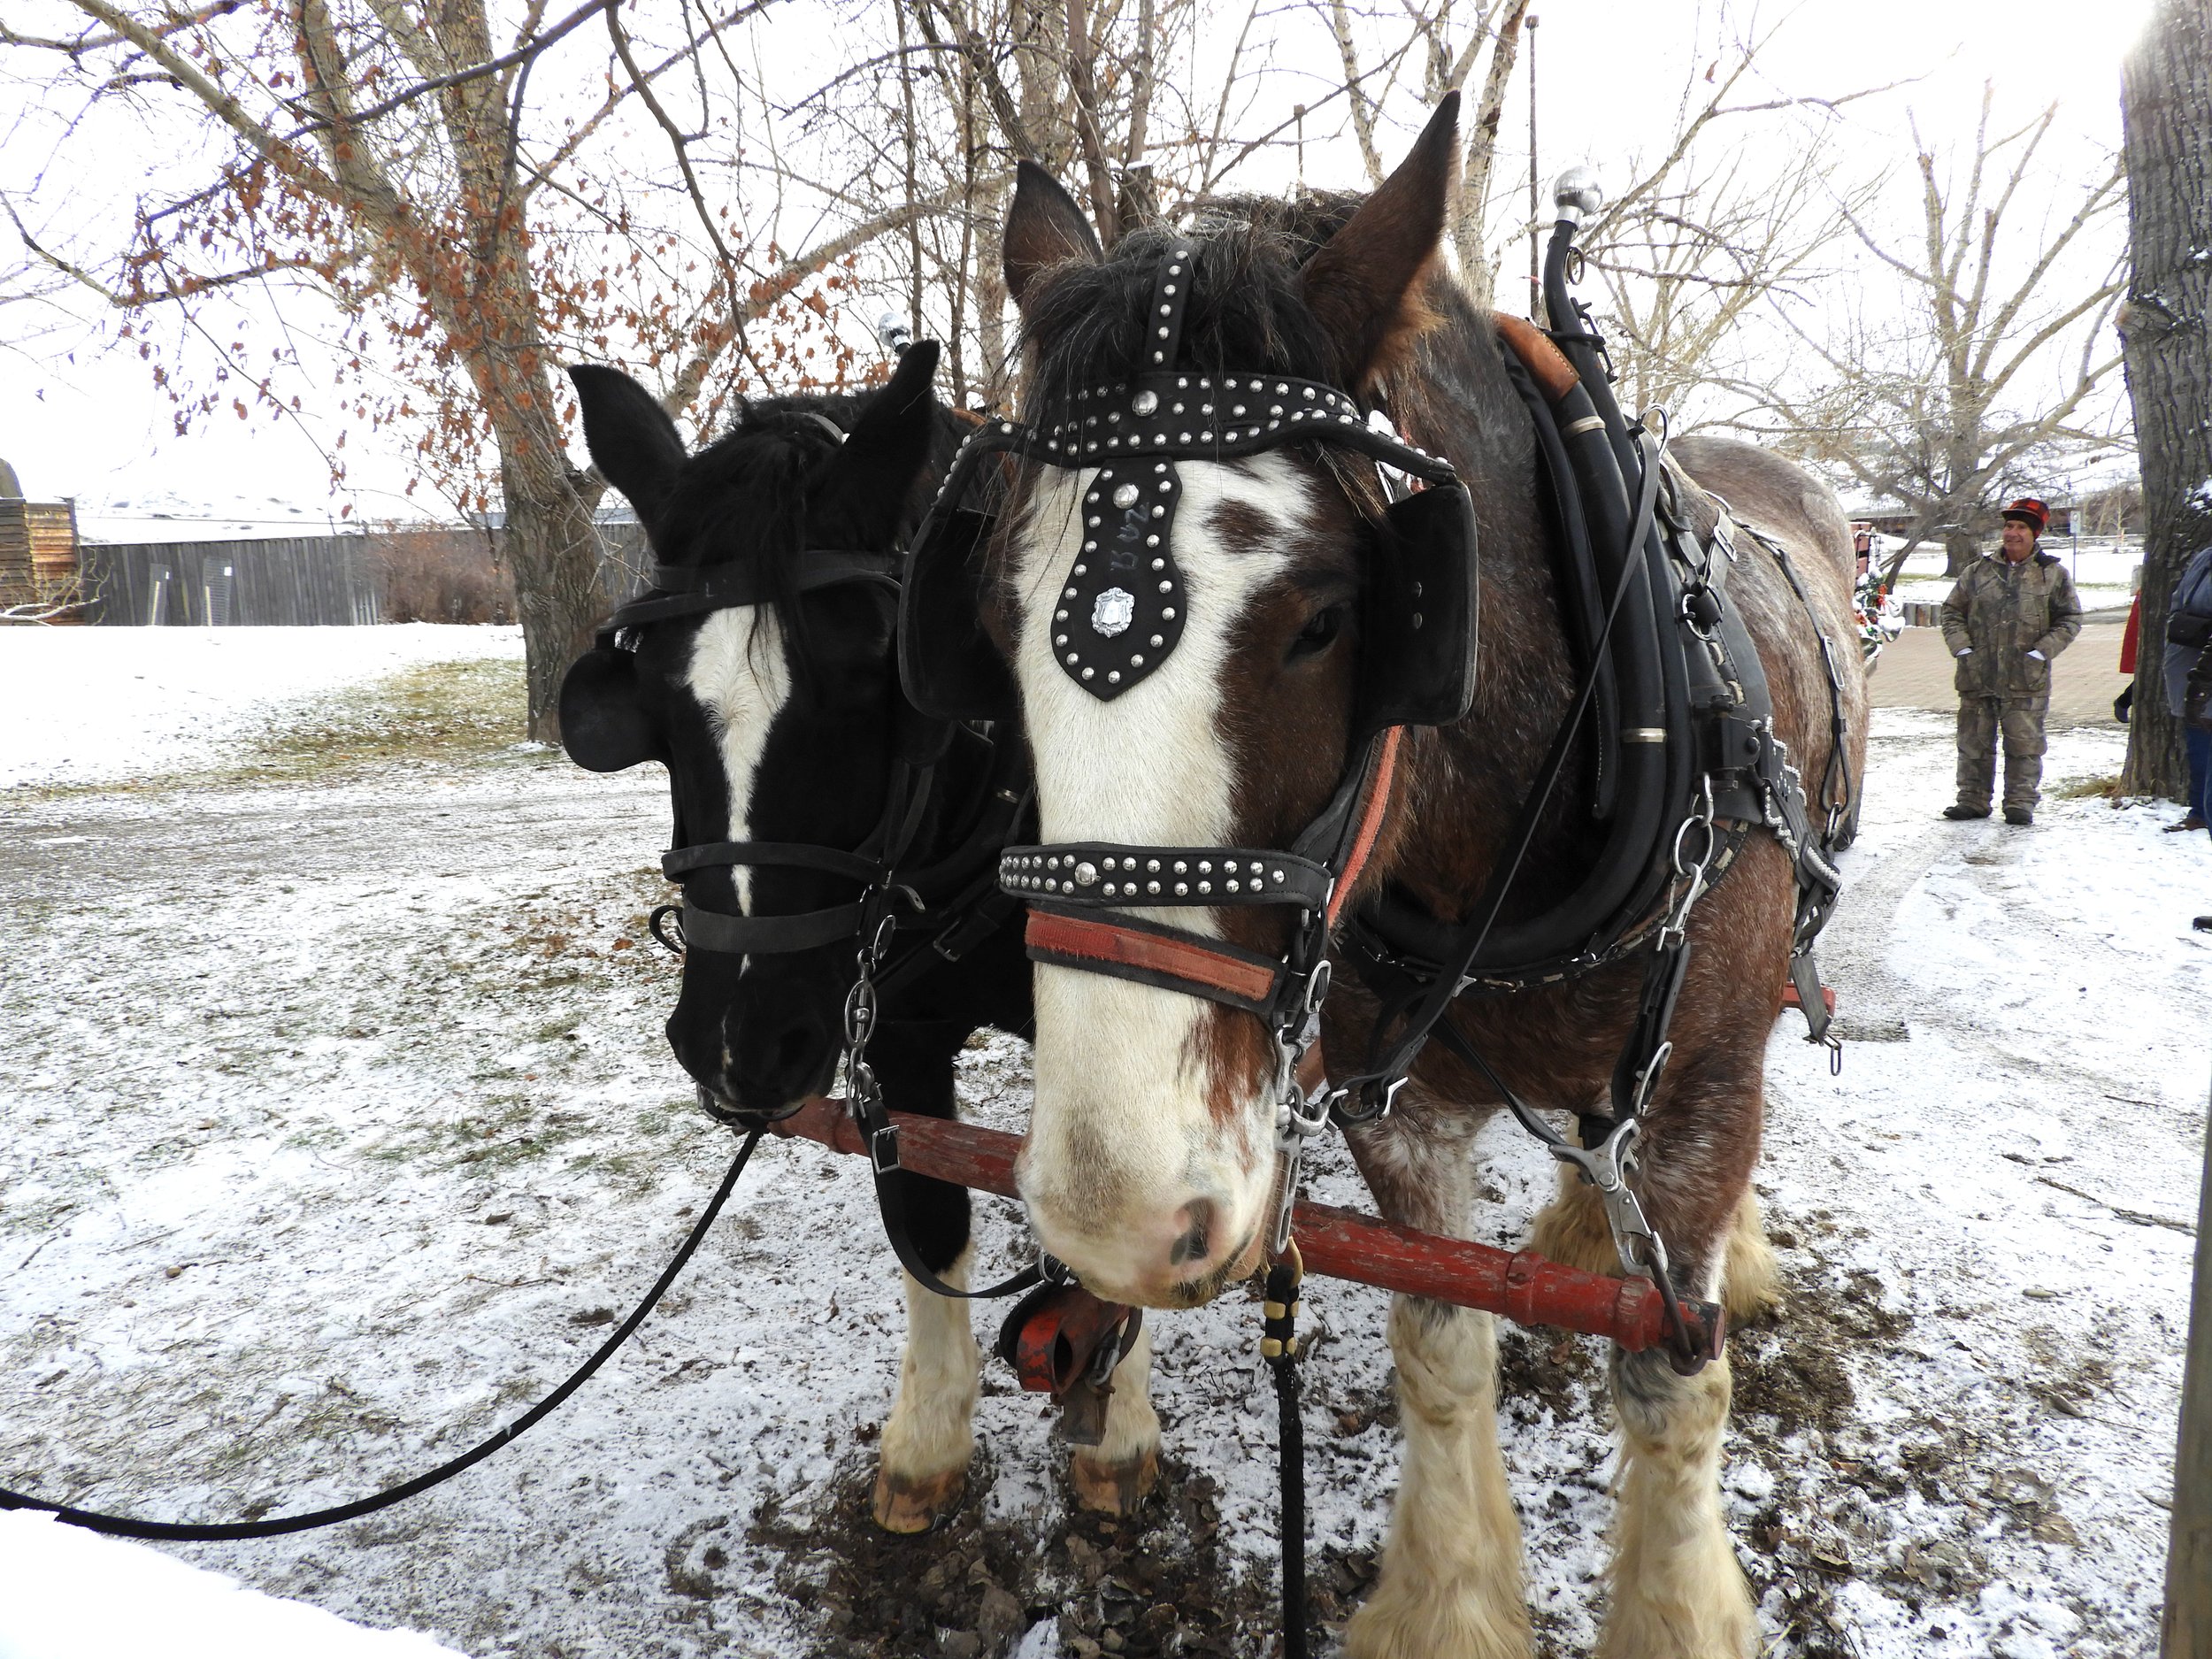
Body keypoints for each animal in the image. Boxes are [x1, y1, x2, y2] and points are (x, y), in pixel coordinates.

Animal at [987, 111, 1867, 1655]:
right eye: (998, 614)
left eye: (1336, 617)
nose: (1114, 1214)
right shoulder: (1396, 1101)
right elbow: (1442, 1338)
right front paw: (1450, 1601)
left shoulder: (1705, 1090)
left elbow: (1674, 1384)